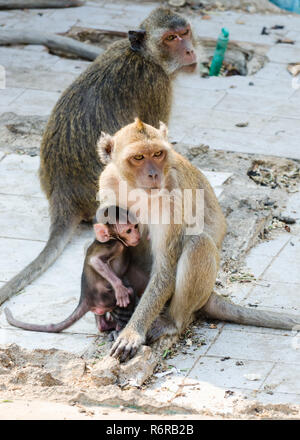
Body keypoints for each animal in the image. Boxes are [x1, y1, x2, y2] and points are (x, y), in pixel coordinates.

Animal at [0, 6, 197, 306]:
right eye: (171, 38)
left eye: (184, 33)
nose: (189, 50)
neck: (142, 55)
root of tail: (62, 193)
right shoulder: (156, 84)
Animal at [3, 213, 146, 334]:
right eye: (128, 231)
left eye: (135, 226)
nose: (137, 235)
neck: (114, 239)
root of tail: (85, 298)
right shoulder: (114, 245)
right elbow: (95, 261)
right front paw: (119, 287)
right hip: (106, 298)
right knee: (129, 292)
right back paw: (120, 325)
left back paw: (106, 325)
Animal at [97, 117, 300, 360]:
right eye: (138, 157)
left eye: (157, 154)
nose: (154, 174)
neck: (135, 188)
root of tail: (210, 293)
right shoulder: (107, 183)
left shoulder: (172, 198)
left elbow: (165, 268)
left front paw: (132, 333)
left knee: (198, 243)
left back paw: (172, 321)